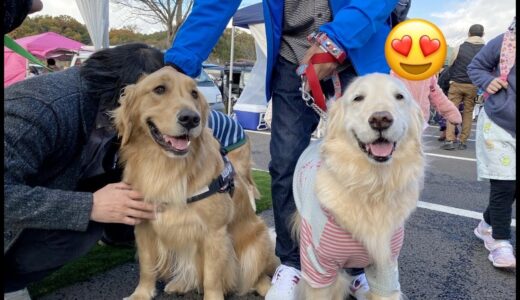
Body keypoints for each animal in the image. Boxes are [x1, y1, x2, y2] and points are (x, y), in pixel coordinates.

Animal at [290, 73, 424, 300]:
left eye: (399, 96)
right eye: (358, 98)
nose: (381, 119)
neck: (371, 186)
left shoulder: (386, 266)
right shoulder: (319, 268)